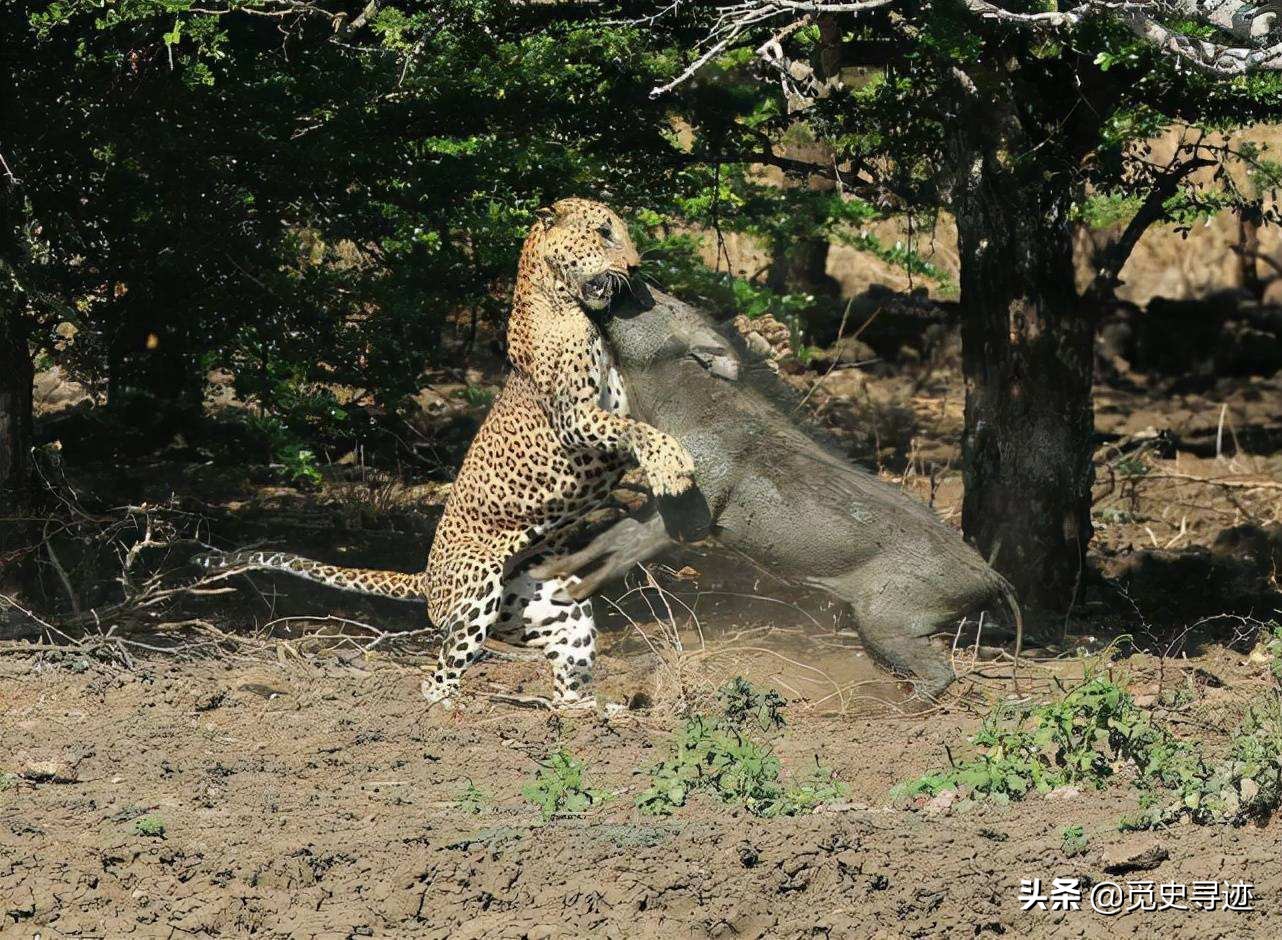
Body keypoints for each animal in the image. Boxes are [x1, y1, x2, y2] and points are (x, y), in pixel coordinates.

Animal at [198, 201, 697, 707]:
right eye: (603, 232)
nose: (634, 267)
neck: (560, 300)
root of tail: (427, 576)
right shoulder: (575, 417)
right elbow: (640, 430)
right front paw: (674, 468)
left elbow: (643, 418)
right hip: (479, 587)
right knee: (438, 674)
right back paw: (455, 709)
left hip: (558, 612)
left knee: (566, 677)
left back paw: (595, 712)